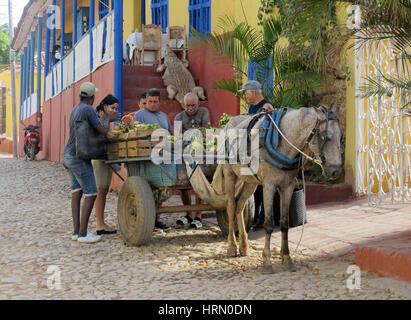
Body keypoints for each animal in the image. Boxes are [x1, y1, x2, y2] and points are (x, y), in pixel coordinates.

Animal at [188, 104, 342, 272]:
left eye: (341, 138)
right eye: (326, 137)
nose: (335, 171)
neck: (284, 142)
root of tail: (228, 124)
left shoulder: (287, 186)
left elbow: (284, 223)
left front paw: (287, 258)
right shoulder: (269, 185)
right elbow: (269, 223)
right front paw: (267, 261)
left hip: (250, 181)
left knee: (239, 207)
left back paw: (243, 245)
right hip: (229, 174)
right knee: (230, 208)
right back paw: (232, 246)